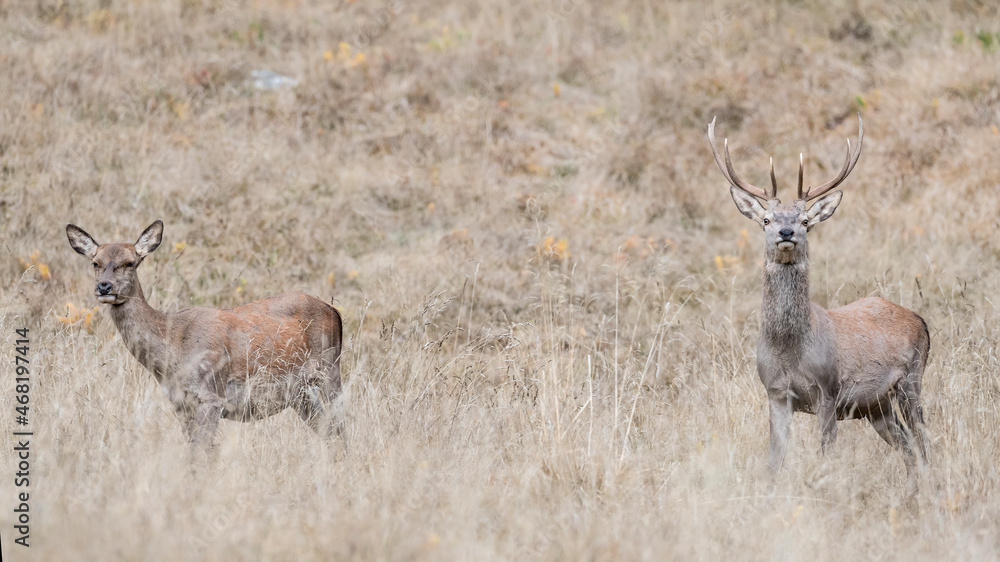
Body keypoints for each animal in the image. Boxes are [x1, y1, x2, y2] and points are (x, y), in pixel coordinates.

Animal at [66, 220, 344, 453]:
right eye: (95, 262)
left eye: (130, 262)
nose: (104, 287)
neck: (173, 348)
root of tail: (334, 311)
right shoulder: (180, 403)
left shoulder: (211, 397)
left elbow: (201, 454)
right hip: (301, 393)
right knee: (328, 430)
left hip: (330, 370)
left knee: (341, 427)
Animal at [707, 114, 930, 492]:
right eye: (766, 220)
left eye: (805, 221)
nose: (786, 233)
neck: (790, 349)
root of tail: (920, 319)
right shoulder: (775, 393)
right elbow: (773, 462)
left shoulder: (828, 390)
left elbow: (825, 457)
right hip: (877, 406)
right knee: (907, 446)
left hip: (912, 378)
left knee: (924, 439)